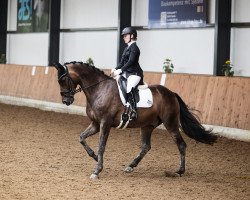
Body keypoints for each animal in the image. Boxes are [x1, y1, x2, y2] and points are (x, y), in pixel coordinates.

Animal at [53, 61, 217, 180]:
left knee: (181, 145)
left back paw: (179, 171)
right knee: (146, 146)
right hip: (147, 126)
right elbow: (81, 138)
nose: (66, 101)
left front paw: (97, 171)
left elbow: (101, 146)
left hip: (171, 123)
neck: (99, 89)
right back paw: (131, 166)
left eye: (63, 80)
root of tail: (171, 93)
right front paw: (94, 157)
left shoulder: (105, 124)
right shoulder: (95, 124)